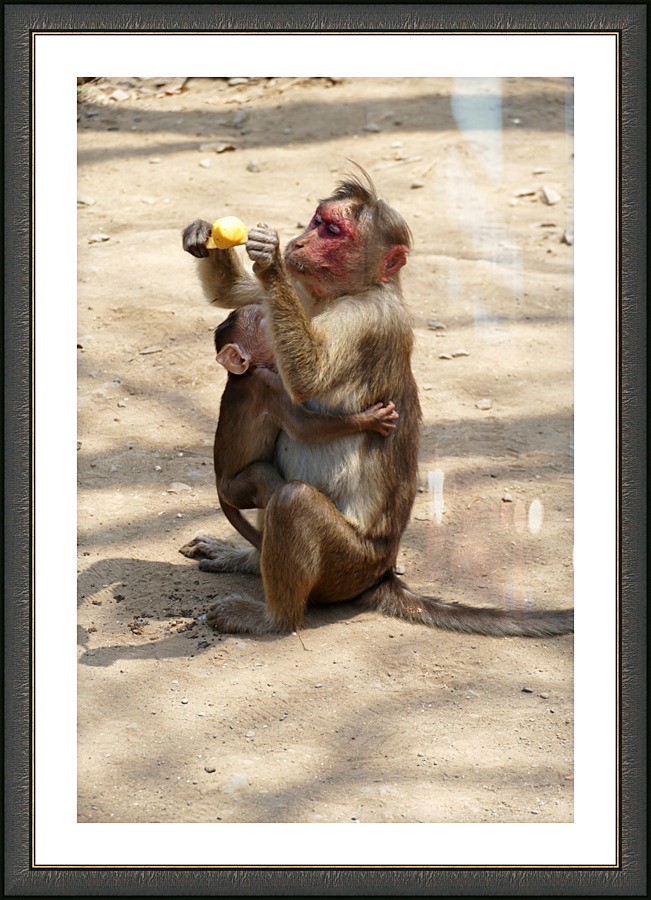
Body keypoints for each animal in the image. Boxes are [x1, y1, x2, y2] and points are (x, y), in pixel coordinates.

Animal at [211, 302, 400, 551]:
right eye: (262, 321)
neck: (249, 371)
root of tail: (218, 483)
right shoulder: (268, 384)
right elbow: (302, 428)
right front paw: (370, 419)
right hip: (234, 489)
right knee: (262, 475)